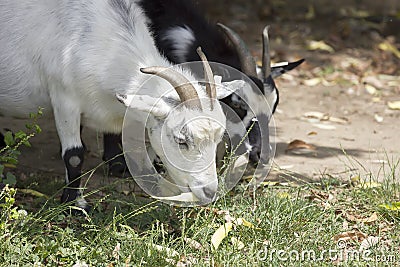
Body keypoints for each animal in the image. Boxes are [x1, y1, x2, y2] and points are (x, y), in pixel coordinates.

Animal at [0, 0, 241, 208]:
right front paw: (75, 204)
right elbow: (74, 155)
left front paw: (118, 167)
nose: (209, 192)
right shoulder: (64, 99)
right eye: (181, 140)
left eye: (218, 138)